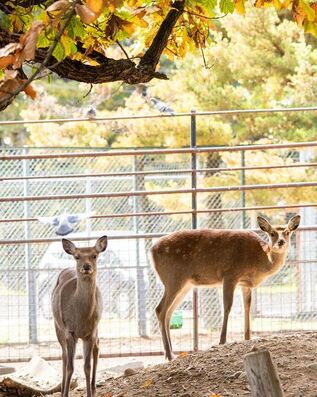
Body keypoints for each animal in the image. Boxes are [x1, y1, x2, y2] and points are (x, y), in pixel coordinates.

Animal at [51, 237, 107, 394]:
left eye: (94, 255)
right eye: (77, 256)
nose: (86, 266)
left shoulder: (91, 332)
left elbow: (86, 366)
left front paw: (90, 393)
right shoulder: (69, 331)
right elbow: (70, 366)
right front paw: (65, 393)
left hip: (97, 327)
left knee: (97, 347)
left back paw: (94, 387)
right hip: (57, 326)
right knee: (64, 356)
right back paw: (62, 389)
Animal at [151, 215, 298, 360]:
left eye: (287, 232)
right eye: (272, 233)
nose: (281, 242)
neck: (260, 260)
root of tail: (151, 251)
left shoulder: (245, 284)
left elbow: (247, 307)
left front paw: (247, 337)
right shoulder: (230, 274)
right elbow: (227, 306)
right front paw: (222, 341)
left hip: (185, 285)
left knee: (168, 312)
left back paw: (171, 353)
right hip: (173, 278)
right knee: (160, 309)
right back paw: (169, 355)